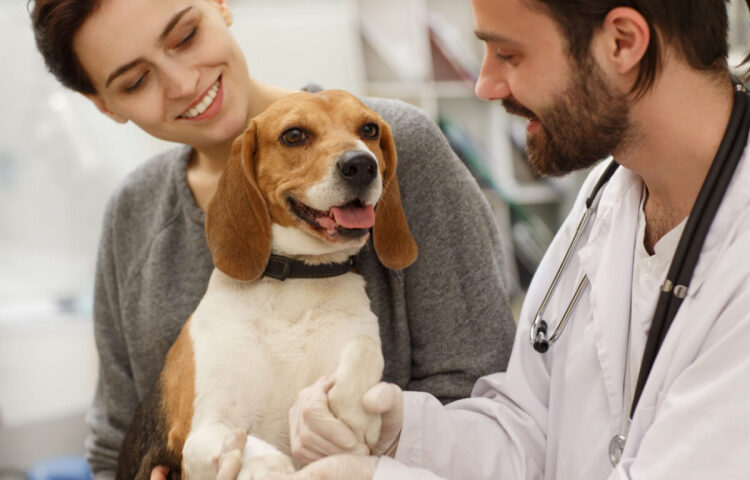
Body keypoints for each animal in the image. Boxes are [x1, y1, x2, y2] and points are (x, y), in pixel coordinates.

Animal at [114, 91, 418, 480]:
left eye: (369, 130)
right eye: (294, 135)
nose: (361, 165)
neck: (297, 281)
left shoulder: (356, 335)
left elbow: (364, 345)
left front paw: (355, 410)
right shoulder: (201, 432)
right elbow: (264, 456)